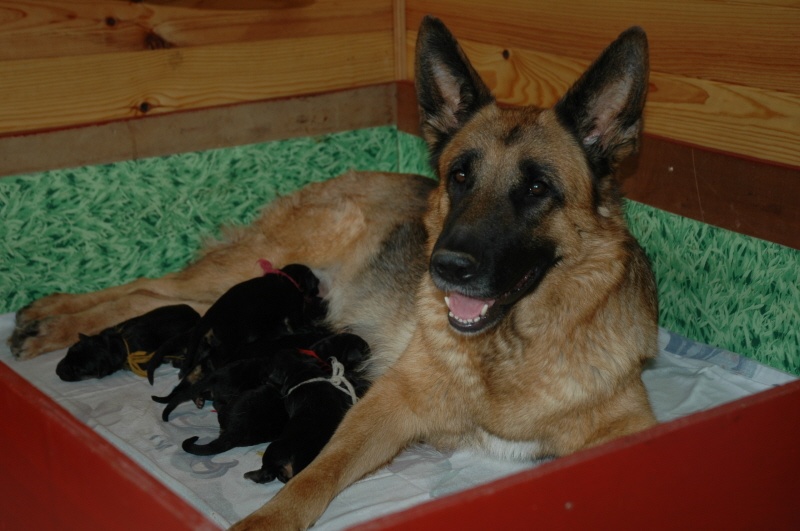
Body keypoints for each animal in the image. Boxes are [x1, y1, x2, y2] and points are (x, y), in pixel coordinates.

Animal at [244, 334, 372, 484]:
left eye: (269, 365)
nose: (261, 377)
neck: (300, 369)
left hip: (273, 449)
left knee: (267, 472)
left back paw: (250, 475)